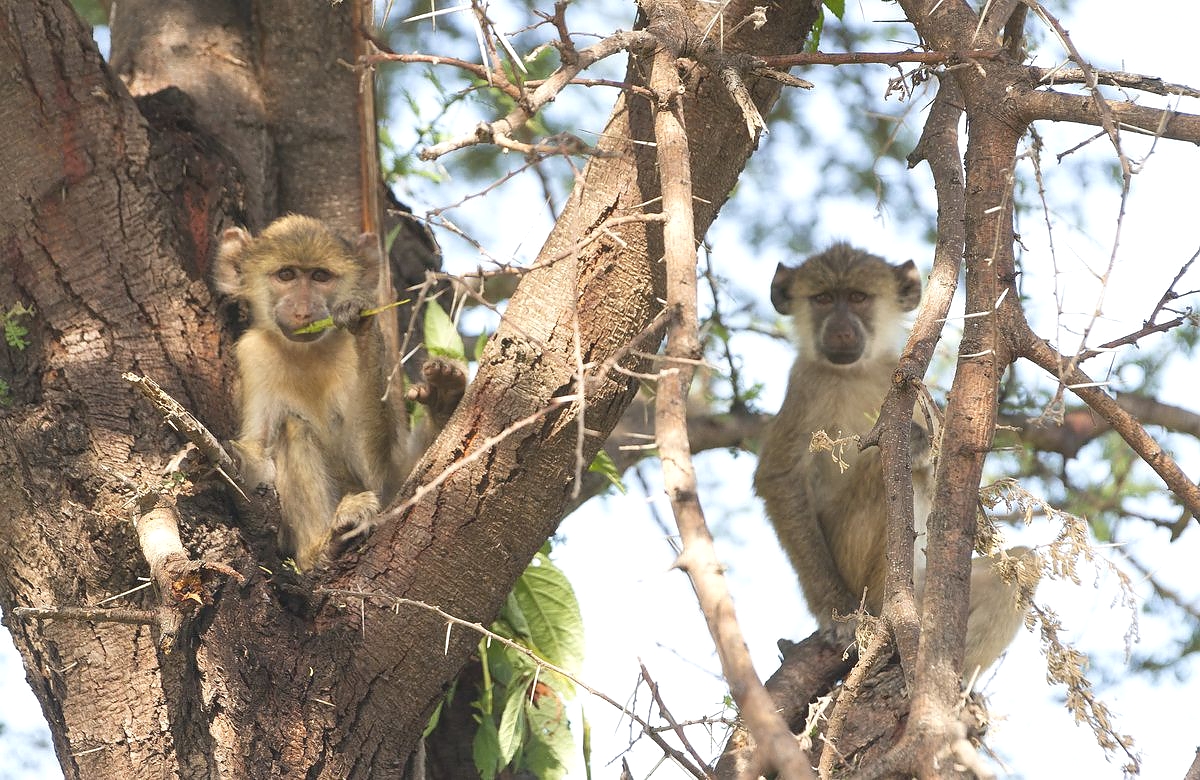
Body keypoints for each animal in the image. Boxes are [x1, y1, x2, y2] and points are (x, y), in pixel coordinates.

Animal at [214, 214, 466, 570]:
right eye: (286, 275)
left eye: (320, 276)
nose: (304, 310)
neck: (305, 354)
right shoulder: (254, 354)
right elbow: (258, 455)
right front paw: (233, 458)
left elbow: (374, 474)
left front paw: (363, 323)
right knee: (293, 429)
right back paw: (321, 548)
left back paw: (444, 400)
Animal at [754, 243, 1035, 676]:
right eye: (823, 299)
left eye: (857, 297)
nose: (840, 330)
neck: (857, 371)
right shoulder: (806, 385)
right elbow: (779, 477)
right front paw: (835, 612)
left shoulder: (898, 378)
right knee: (886, 471)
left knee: (1021, 564)